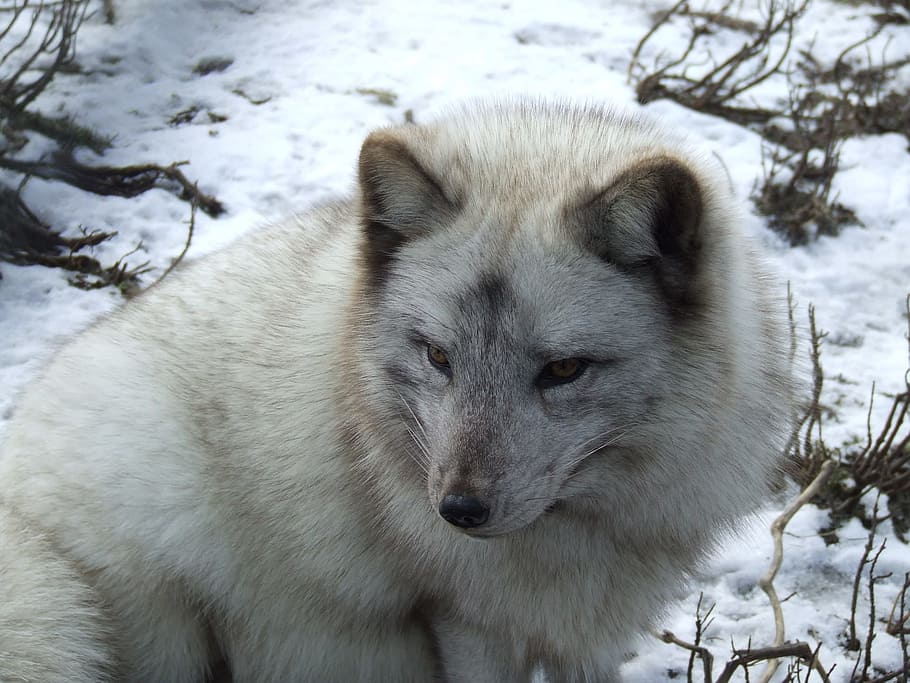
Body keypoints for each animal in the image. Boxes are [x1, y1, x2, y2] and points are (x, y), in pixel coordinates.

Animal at [0, 100, 792, 682]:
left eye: (564, 370)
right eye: (438, 356)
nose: (459, 511)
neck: (582, 529)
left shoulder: (583, 633)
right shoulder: (464, 623)